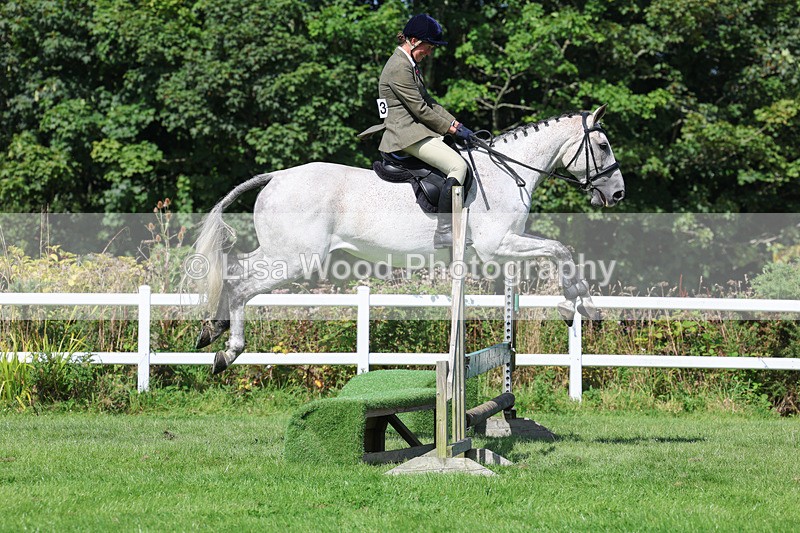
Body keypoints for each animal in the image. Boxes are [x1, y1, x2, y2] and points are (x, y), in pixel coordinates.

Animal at [191, 105, 625, 374]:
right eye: (603, 145)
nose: (618, 194)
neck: (507, 171)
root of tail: (277, 177)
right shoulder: (497, 244)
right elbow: (562, 250)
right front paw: (578, 307)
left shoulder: (503, 244)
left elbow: (561, 252)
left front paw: (579, 306)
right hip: (295, 258)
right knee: (241, 283)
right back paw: (227, 349)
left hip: (283, 252)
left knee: (236, 272)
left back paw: (213, 331)